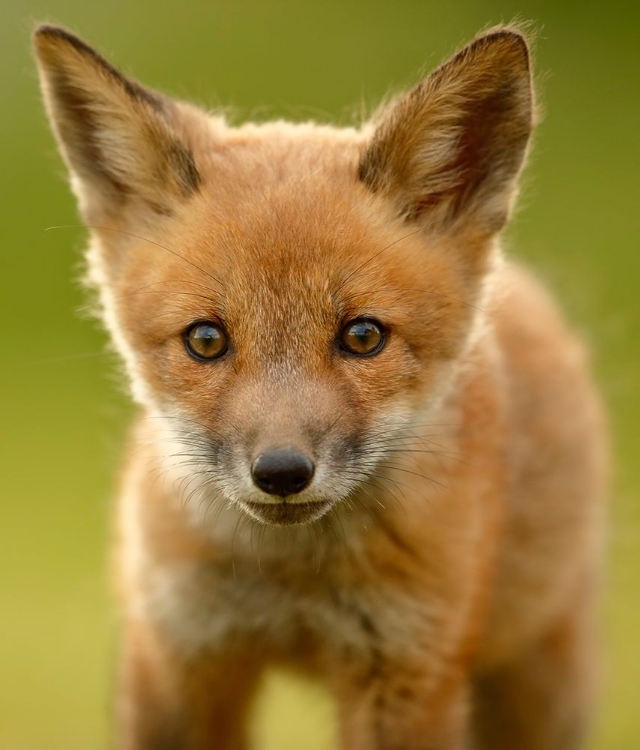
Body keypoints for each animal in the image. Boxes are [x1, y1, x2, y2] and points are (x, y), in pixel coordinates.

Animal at [33, 23, 604, 750]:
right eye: (206, 340)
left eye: (362, 336)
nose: (281, 472)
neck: (292, 582)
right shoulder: (178, 654)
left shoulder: (408, 669)